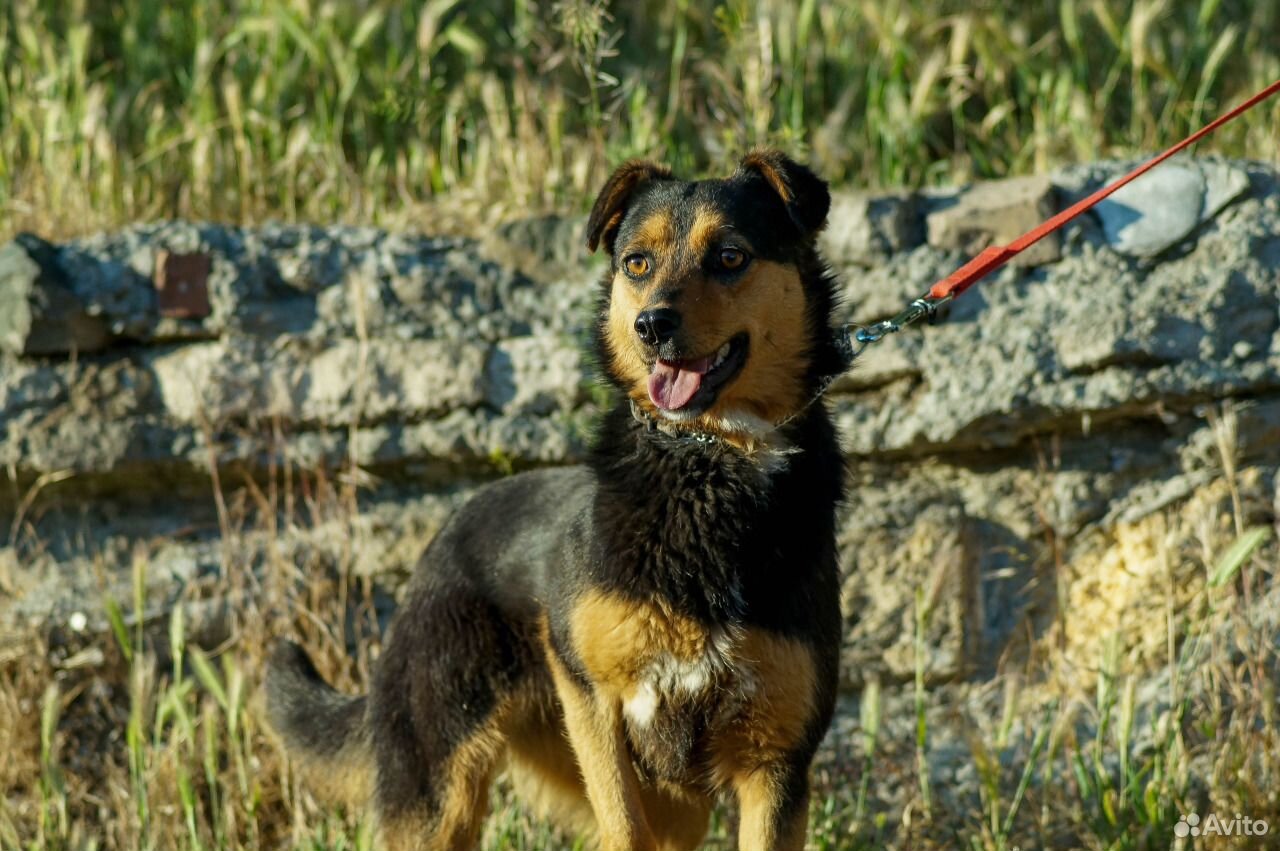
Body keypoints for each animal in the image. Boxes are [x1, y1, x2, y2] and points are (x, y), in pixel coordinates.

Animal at [267, 149, 849, 844]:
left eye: (731, 256)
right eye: (637, 263)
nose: (650, 325)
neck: (707, 464)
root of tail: (444, 536)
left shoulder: (775, 763)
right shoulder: (592, 702)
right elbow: (622, 826)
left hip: (674, 806)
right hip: (441, 792)